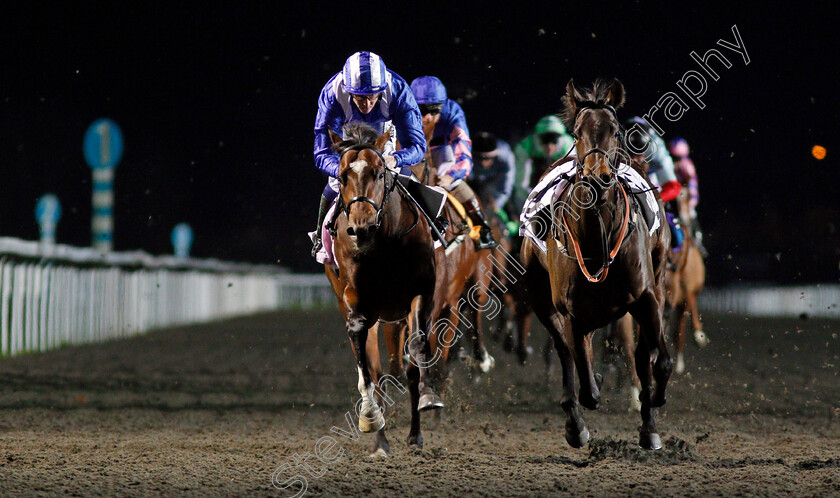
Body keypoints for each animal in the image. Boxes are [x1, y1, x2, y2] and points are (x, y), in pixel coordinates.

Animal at [324, 123, 446, 456]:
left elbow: (418, 348)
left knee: (409, 368)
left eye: (379, 173)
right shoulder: (356, 303)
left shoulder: (422, 294)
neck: (384, 243)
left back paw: (415, 436)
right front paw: (369, 417)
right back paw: (380, 440)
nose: (360, 228)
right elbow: (367, 367)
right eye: (342, 176)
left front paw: (430, 396)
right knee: (378, 372)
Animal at [520, 79, 672, 452]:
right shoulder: (571, 310)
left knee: (641, 354)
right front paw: (583, 411)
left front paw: (653, 408)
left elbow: (660, 361)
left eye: (615, 130)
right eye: (577, 132)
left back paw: (648, 424)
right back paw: (576, 424)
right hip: (542, 298)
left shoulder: (646, 295)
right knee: (566, 354)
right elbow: (586, 383)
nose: (599, 178)